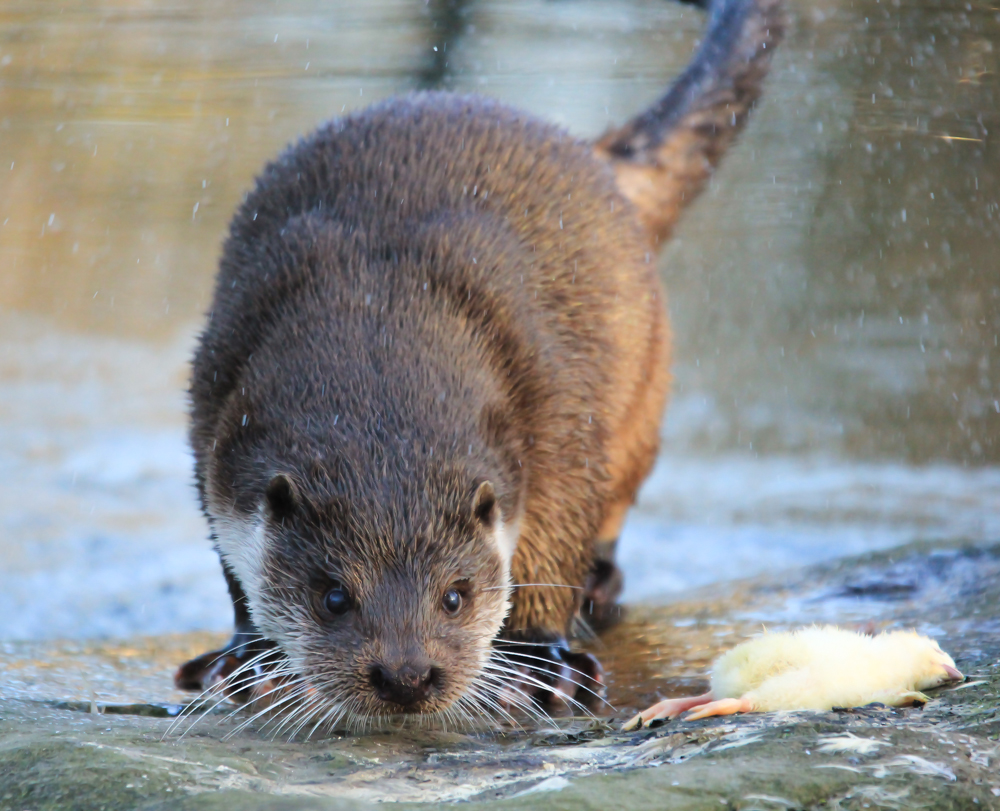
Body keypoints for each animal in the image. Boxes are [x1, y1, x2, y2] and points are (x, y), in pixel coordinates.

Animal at [176, 0, 784, 728]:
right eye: (333, 597)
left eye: (455, 595)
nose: (406, 673)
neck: (382, 324)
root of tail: (590, 152)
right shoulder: (215, 407)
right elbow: (230, 557)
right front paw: (247, 654)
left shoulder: (554, 406)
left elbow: (557, 530)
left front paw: (546, 659)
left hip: (644, 393)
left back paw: (601, 585)